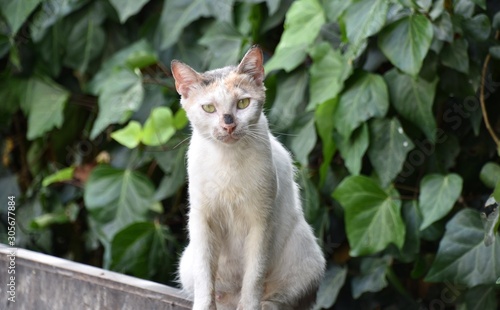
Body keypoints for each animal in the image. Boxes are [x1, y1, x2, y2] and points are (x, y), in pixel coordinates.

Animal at [172, 46, 326, 310]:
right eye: (209, 108)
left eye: (243, 103)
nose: (229, 124)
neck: (227, 160)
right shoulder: (202, 219)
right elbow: (205, 278)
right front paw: (205, 305)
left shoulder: (261, 221)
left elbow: (253, 277)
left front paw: (250, 306)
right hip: (186, 262)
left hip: (308, 257)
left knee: (281, 299)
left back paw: (265, 304)